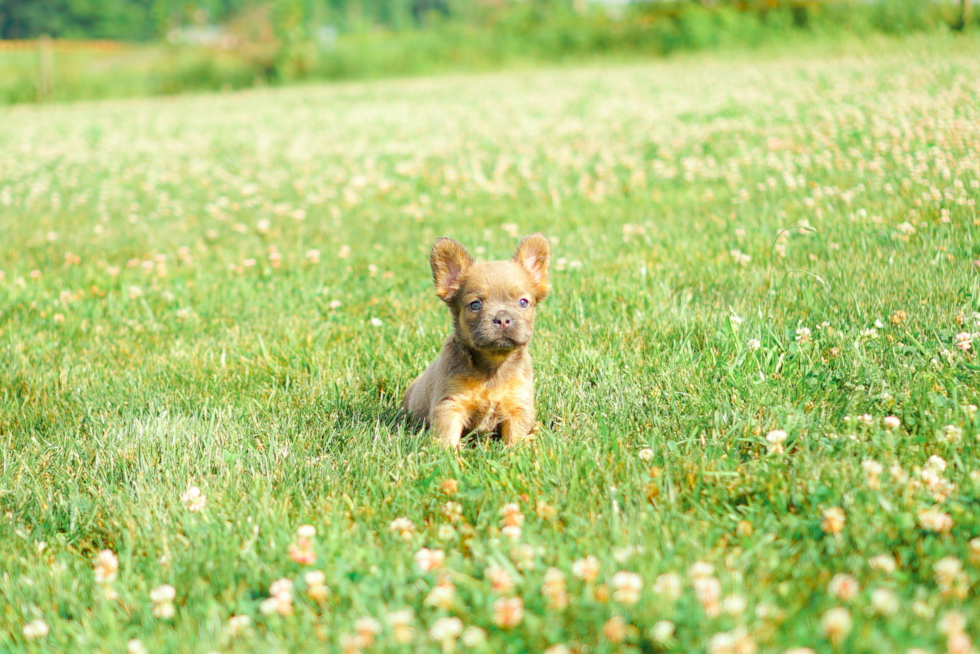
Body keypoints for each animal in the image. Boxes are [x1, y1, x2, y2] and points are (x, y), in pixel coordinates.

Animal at [400, 236, 552, 452]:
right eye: (475, 305)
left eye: (523, 302)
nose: (503, 318)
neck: (493, 366)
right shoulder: (450, 405)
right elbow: (447, 436)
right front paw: (448, 455)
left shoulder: (518, 406)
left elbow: (515, 436)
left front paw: (515, 452)